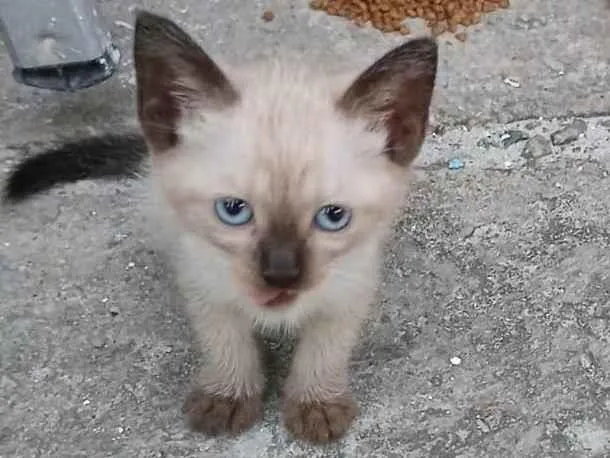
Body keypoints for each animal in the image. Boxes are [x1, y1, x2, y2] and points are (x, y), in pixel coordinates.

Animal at [2, 11, 434, 444]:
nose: (281, 276)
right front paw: (228, 396)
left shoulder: (350, 284)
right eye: (233, 211)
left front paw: (317, 403)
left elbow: (325, 347)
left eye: (333, 217)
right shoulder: (202, 277)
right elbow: (225, 340)